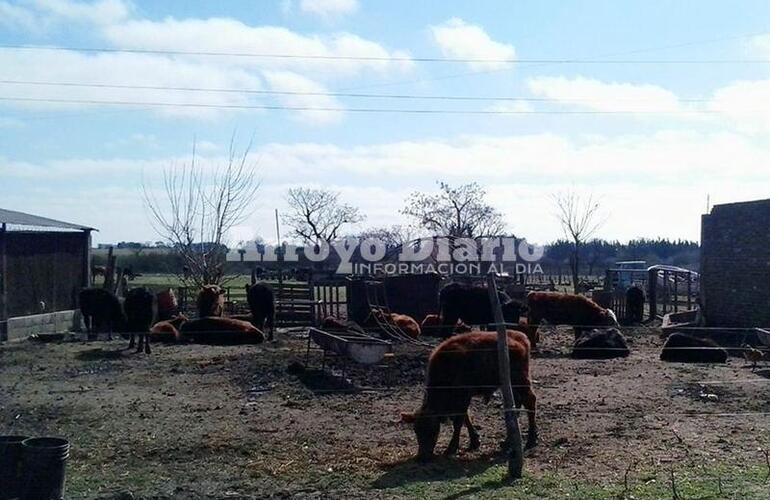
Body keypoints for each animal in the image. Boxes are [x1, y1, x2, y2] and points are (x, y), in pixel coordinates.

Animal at [400, 330, 536, 458]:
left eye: (432, 431)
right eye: (416, 430)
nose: (422, 456)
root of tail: (522, 337)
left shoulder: (464, 396)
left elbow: (459, 422)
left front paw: (451, 448)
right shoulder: (461, 400)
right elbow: (466, 417)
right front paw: (474, 441)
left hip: (520, 381)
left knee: (530, 400)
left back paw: (531, 440)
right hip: (511, 386)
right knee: (517, 403)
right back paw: (508, 441)